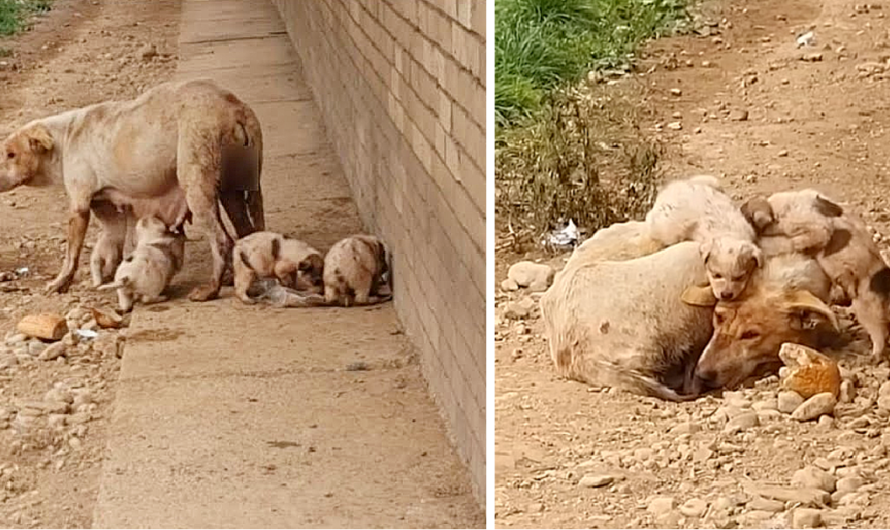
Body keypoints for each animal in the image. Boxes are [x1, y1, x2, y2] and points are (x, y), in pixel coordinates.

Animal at [0, 78, 264, 302]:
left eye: (11, 154)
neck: (64, 139)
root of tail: (233, 107)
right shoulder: (107, 209)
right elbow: (112, 245)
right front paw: (107, 276)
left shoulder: (79, 206)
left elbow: (71, 254)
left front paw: (60, 283)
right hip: (235, 190)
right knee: (246, 231)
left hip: (198, 188)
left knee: (221, 239)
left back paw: (211, 289)